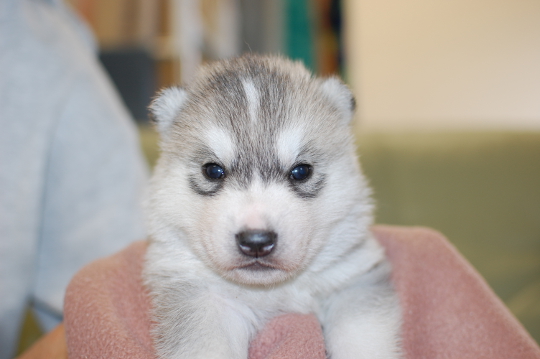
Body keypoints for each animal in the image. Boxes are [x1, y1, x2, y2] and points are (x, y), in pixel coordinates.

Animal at [143, 54, 400, 358]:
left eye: (301, 171)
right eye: (213, 171)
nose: (256, 241)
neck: (272, 291)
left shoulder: (352, 282)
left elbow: (363, 342)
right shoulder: (203, 300)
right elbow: (208, 346)